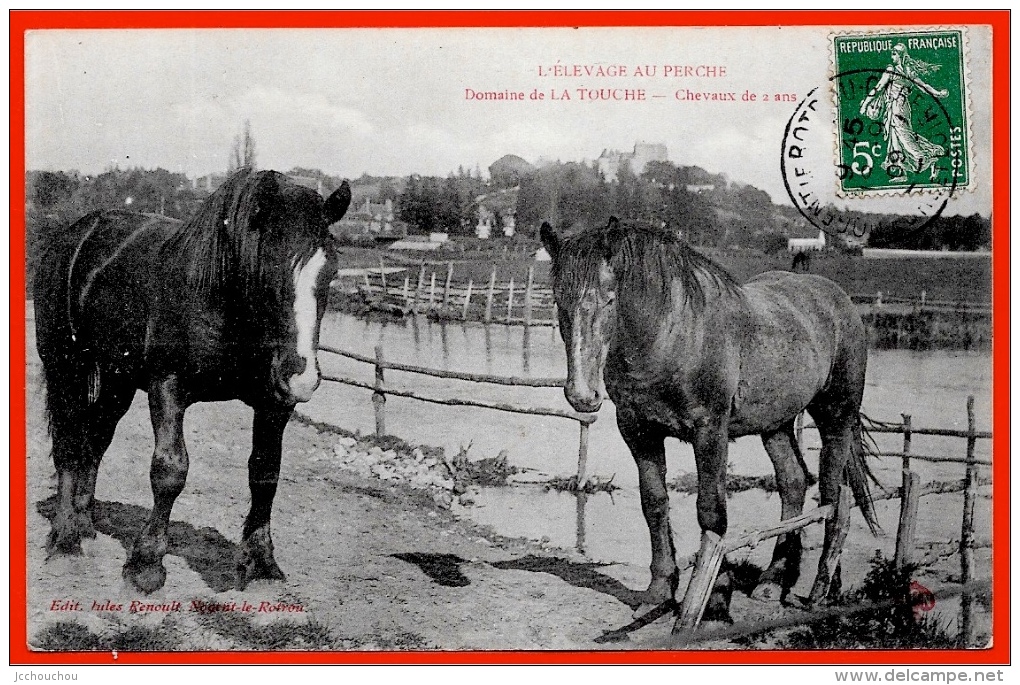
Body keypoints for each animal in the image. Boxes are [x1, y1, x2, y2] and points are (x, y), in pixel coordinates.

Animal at [33, 170, 352, 595]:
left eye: (331, 272)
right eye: (267, 267)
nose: (301, 377)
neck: (219, 299)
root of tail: (72, 237)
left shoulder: (274, 403)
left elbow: (265, 473)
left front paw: (262, 563)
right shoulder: (167, 387)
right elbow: (170, 471)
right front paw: (146, 564)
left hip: (117, 380)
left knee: (95, 440)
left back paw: (84, 525)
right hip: (64, 367)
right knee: (68, 441)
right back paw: (66, 538)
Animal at [538, 218, 881, 627]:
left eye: (609, 298)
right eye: (560, 300)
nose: (581, 395)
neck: (671, 337)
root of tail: (838, 300)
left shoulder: (710, 432)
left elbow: (712, 513)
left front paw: (713, 599)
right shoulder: (638, 431)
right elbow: (654, 504)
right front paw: (658, 594)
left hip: (836, 417)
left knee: (833, 499)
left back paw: (821, 590)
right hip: (776, 424)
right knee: (794, 483)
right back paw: (773, 581)